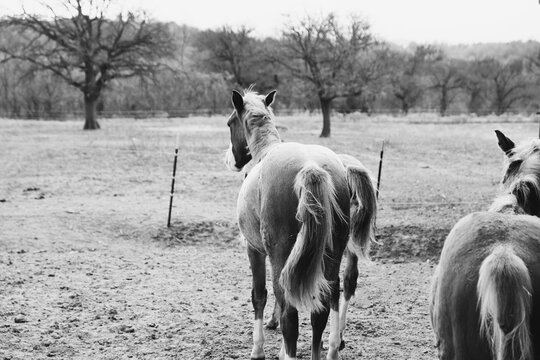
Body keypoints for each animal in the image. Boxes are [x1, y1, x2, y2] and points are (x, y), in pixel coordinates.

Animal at [224, 88, 376, 360]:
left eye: (230, 123)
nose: (231, 160)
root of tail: (311, 166)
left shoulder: (255, 250)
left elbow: (259, 296)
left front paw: (258, 349)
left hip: (284, 255)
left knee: (290, 314)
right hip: (332, 254)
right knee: (327, 303)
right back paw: (331, 345)